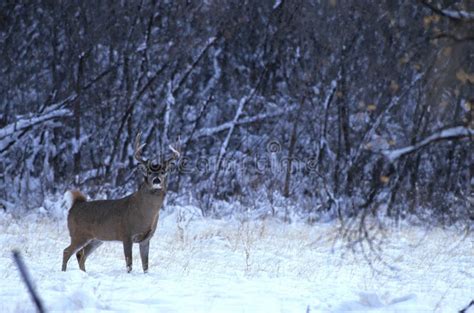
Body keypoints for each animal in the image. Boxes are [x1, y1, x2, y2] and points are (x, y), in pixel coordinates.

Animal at [61, 133, 180, 272]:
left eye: (163, 172)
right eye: (149, 172)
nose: (156, 180)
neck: (144, 212)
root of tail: (75, 205)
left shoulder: (146, 239)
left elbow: (145, 265)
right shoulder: (126, 234)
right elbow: (129, 264)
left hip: (96, 239)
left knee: (81, 254)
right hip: (78, 234)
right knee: (67, 251)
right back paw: (64, 272)